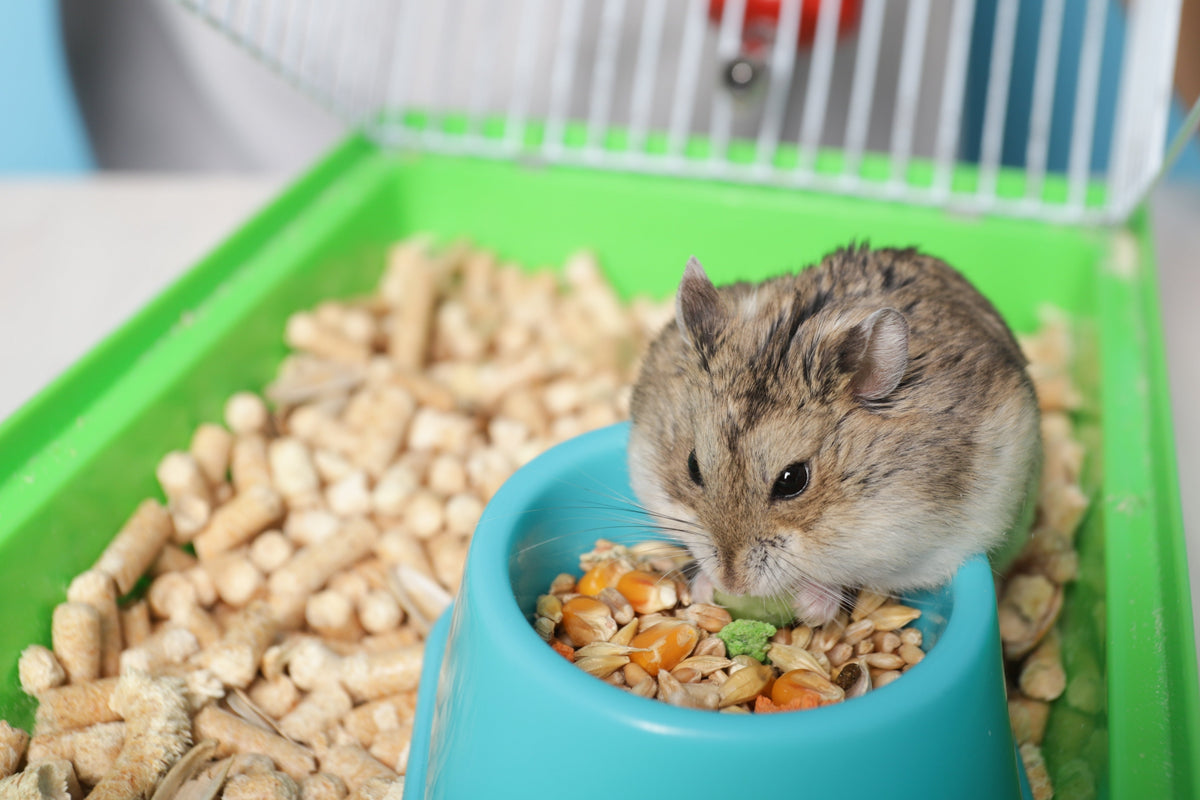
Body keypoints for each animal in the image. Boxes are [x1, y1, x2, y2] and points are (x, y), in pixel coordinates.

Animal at [627, 245, 1041, 624]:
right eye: (693, 466)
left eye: (793, 480)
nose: (733, 584)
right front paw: (703, 588)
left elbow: (846, 577)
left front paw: (811, 607)